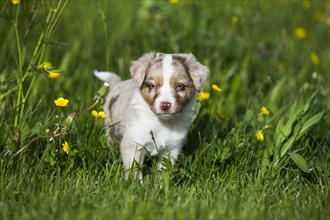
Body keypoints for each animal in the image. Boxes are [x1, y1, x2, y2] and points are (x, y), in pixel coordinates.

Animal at [95, 52, 209, 180]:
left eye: (180, 86)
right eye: (152, 85)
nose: (165, 105)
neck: (162, 122)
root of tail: (118, 84)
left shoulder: (171, 148)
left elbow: (163, 171)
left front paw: (160, 183)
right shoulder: (133, 143)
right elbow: (134, 170)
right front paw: (135, 184)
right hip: (110, 125)